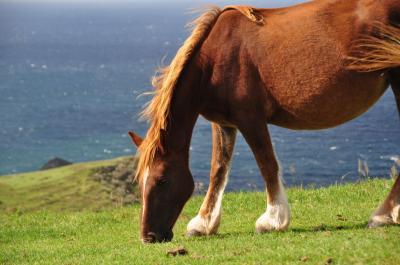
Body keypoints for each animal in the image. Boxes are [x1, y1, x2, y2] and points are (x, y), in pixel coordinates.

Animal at [128, 0, 400, 242]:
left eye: (162, 180)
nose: (148, 237)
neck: (213, 62)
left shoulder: (250, 119)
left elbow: (266, 163)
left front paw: (273, 220)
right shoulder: (224, 123)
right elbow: (219, 169)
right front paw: (204, 223)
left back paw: (383, 215)